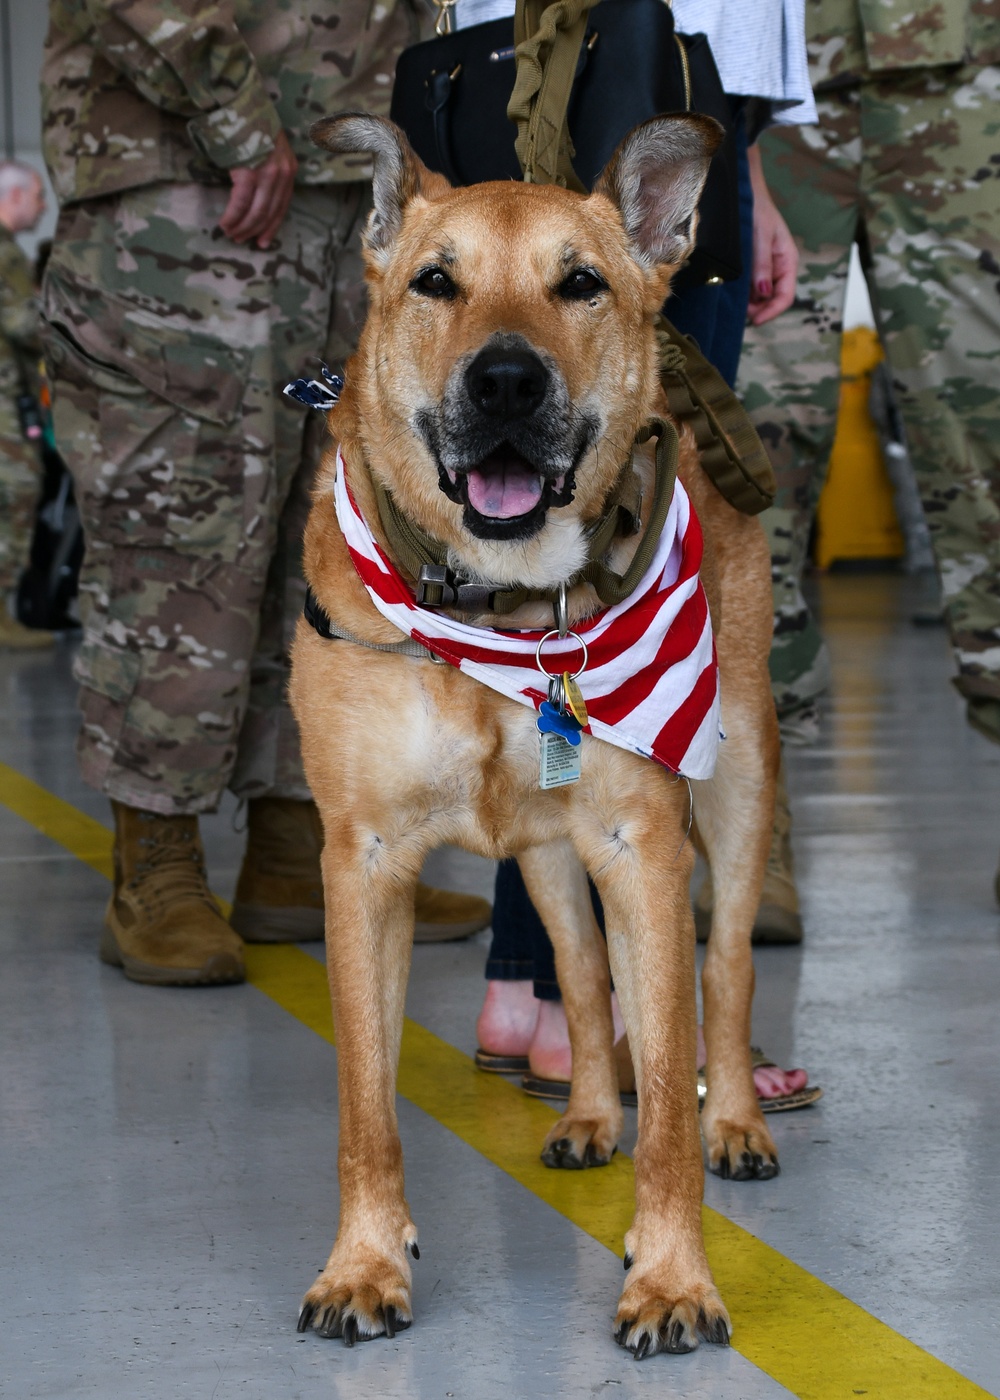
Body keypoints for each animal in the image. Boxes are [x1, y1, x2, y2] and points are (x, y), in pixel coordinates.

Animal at [288, 109, 778, 1355]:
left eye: (579, 283)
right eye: (435, 281)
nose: (505, 379)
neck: (495, 607)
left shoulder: (645, 847)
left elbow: (669, 1097)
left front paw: (671, 1276)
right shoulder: (359, 860)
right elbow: (363, 1102)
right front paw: (365, 1261)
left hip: (737, 777)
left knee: (728, 964)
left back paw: (739, 1119)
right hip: (550, 849)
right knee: (578, 966)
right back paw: (590, 1111)